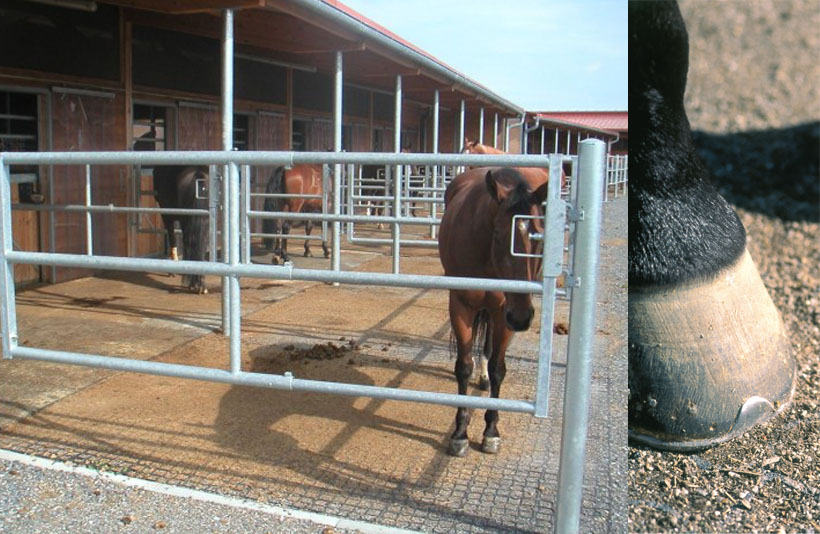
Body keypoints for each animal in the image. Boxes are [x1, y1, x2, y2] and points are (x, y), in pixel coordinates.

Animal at [438, 166, 548, 456]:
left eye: (539, 239)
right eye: (498, 235)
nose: (521, 317)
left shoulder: (502, 313)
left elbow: (499, 368)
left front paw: (491, 431)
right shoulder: (461, 306)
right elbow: (463, 366)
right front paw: (460, 433)